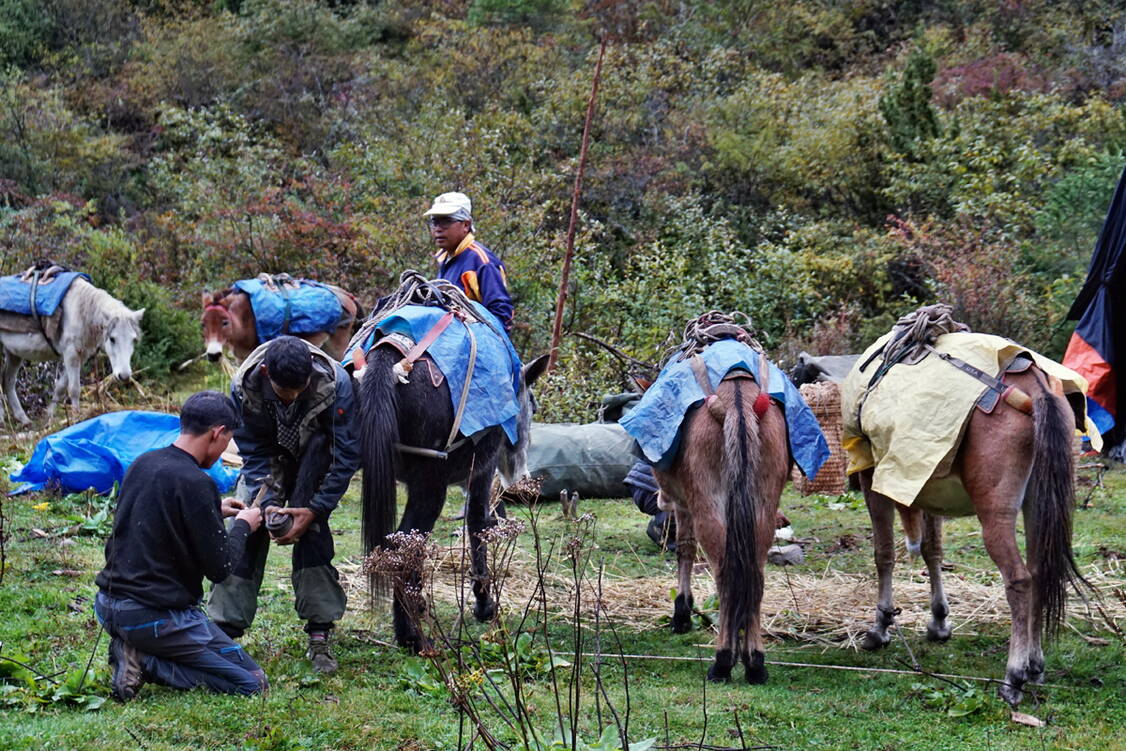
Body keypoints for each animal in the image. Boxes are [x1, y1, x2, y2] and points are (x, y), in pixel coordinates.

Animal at [0, 279, 145, 425]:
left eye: (133, 339)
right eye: (112, 338)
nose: (124, 376)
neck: (82, 311)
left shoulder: (81, 356)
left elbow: (60, 387)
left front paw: (50, 418)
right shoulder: (71, 354)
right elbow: (74, 389)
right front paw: (76, 419)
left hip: (14, 353)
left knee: (8, 381)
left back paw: (23, 419)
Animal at [653, 373, 792, 684]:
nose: (660, 499)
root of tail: (736, 403)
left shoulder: (684, 505)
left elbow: (685, 550)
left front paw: (681, 615)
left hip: (709, 504)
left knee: (725, 576)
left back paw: (723, 660)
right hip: (762, 506)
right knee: (755, 577)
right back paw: (755, 662)